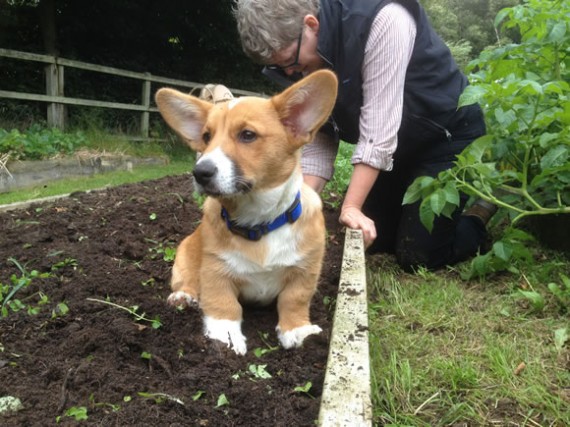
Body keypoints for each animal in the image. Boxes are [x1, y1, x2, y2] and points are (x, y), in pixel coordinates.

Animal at [153, 70, 336, 356]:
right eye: (206, 137)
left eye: (247, 135)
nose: (200, 172)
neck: (258, 222)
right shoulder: (216, 271)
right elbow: (224, 305)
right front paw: (225, 339)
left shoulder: (305, 271)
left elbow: (294, 300)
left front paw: (298, 330)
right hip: (184, 259)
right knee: (187, 282)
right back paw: (184, 296)